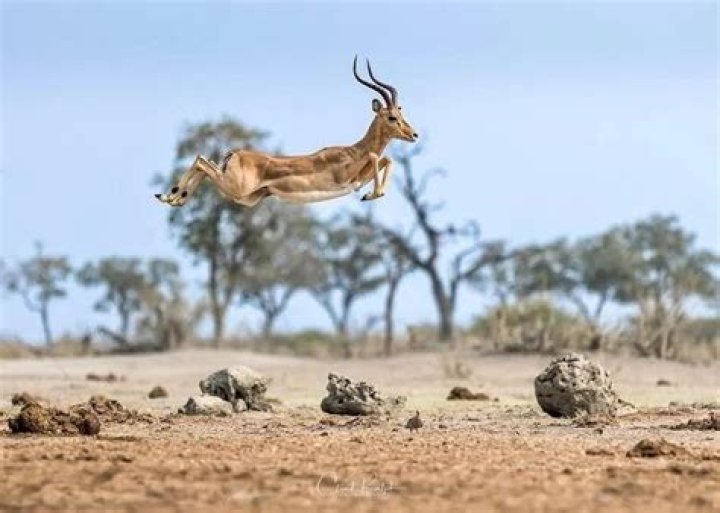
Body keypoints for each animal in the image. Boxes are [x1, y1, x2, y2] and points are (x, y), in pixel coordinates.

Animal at [155, 57, 418, 208]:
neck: (353, 151)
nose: (414, 135)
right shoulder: (346, 178)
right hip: (236, 188)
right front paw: (371, 195)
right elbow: (378, 157)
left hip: (245, 197)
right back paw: (170, 196)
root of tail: (235, 154)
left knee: (204, 162)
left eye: (402, 113)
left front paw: (371, 195)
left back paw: (173, 198)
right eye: (392, 117)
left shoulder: (358, 179)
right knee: (201, 160)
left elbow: (386, 159)